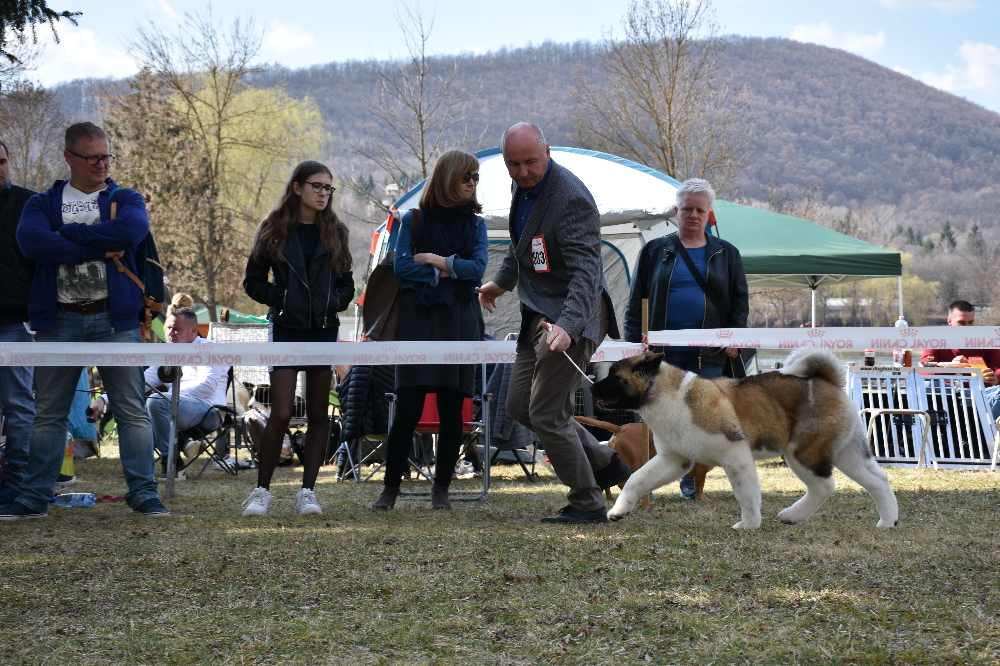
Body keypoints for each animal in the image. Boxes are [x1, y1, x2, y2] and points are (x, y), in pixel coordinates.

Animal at [574, 416, 712, 504]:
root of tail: (620, 428)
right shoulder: (701, 470)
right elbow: (699, 486)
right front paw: (702, 499)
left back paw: (610, 497)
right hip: (636, 463)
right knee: (622, 484)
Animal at [589, 348, 899, 530]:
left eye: (614, 376)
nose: (592, 387)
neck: (666, 395)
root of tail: (828, 381)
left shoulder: (734, 454)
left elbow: (746, 494)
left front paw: (749, 524)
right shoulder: (673, 460)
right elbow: (636, 480)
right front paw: (618, 511)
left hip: (803, 453)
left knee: (824, 486)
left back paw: (793, 515)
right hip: (847, 453)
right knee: (877, 480)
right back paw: (888, 521)